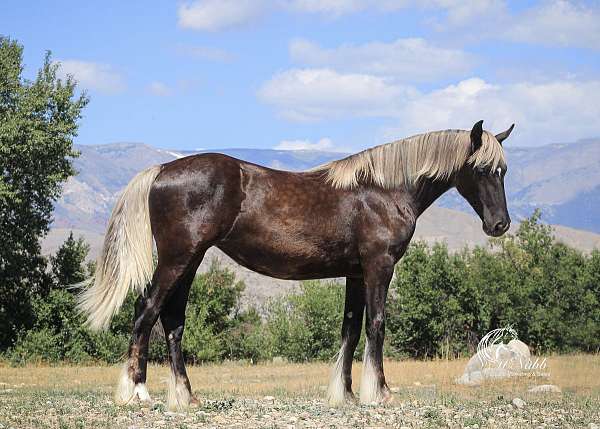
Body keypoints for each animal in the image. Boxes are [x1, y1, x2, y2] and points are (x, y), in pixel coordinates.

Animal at [77, 119, 512, 408]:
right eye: (482, 169)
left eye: (504, 170)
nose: (500, 225)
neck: (383, 189)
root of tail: (161, 170)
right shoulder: (379, 267)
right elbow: (376, 325)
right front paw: (380, 392)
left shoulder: (355, 274)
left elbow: (350, 330)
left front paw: (345, 395)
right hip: (177, 258)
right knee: (145, 311)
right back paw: (137, 391)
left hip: (190, 260)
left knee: (172, 320)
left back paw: (187, 396)